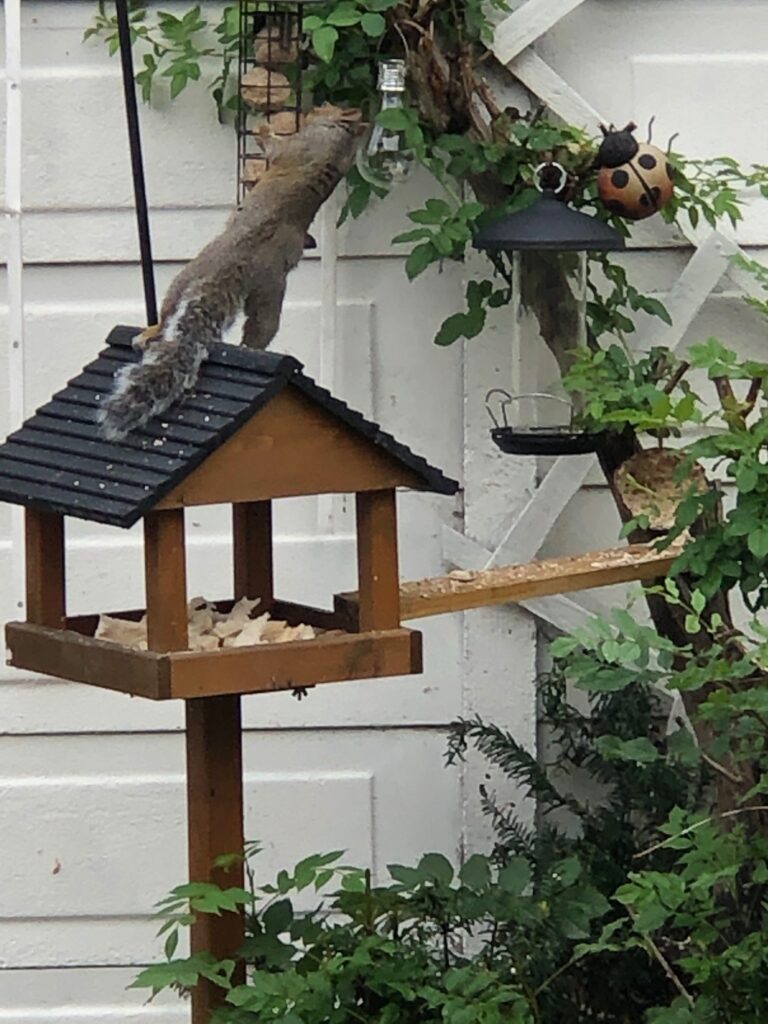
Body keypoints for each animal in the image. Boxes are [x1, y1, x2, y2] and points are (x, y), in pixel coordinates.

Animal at [98, 106, 364, 441]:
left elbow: (275, 147)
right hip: (268, 297)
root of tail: (242, 264)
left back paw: (150, 332)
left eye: (326, 107)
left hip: (189, 275)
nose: (314, 109)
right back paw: (246, 349)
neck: (338, 139)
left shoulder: (296, 147)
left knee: (168, 312)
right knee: (260, 331)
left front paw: (263, 128)